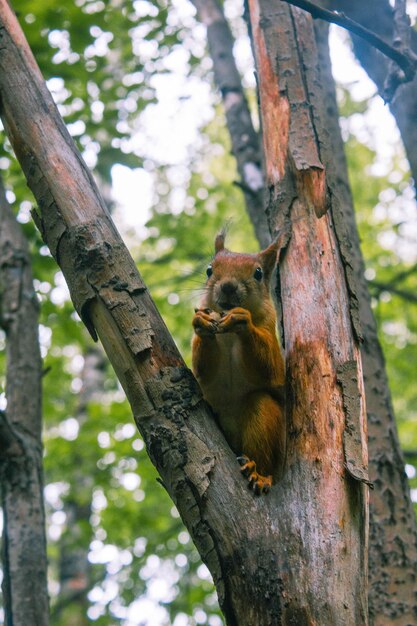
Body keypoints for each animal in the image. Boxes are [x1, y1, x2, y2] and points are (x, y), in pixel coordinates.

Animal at [192, 229, 286, 492]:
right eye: (209, 269)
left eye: (258, 273)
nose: (228, 287)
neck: (229, 335)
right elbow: (202, 369)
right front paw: (202, 322)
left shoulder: (269, 332)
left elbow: (270, 368)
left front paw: (242, 320)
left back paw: (258, 473)